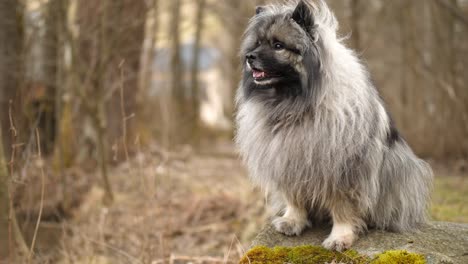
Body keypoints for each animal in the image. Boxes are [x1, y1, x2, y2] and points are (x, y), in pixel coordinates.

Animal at [236, 0, 434, 252]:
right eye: (257, 43)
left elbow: (343, 207)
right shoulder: (288, 161)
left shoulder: (341, 169)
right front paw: (293, 220)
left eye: (278, 45)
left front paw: (340, 236)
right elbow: (294, 197)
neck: (295, 103)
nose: (249, 56)